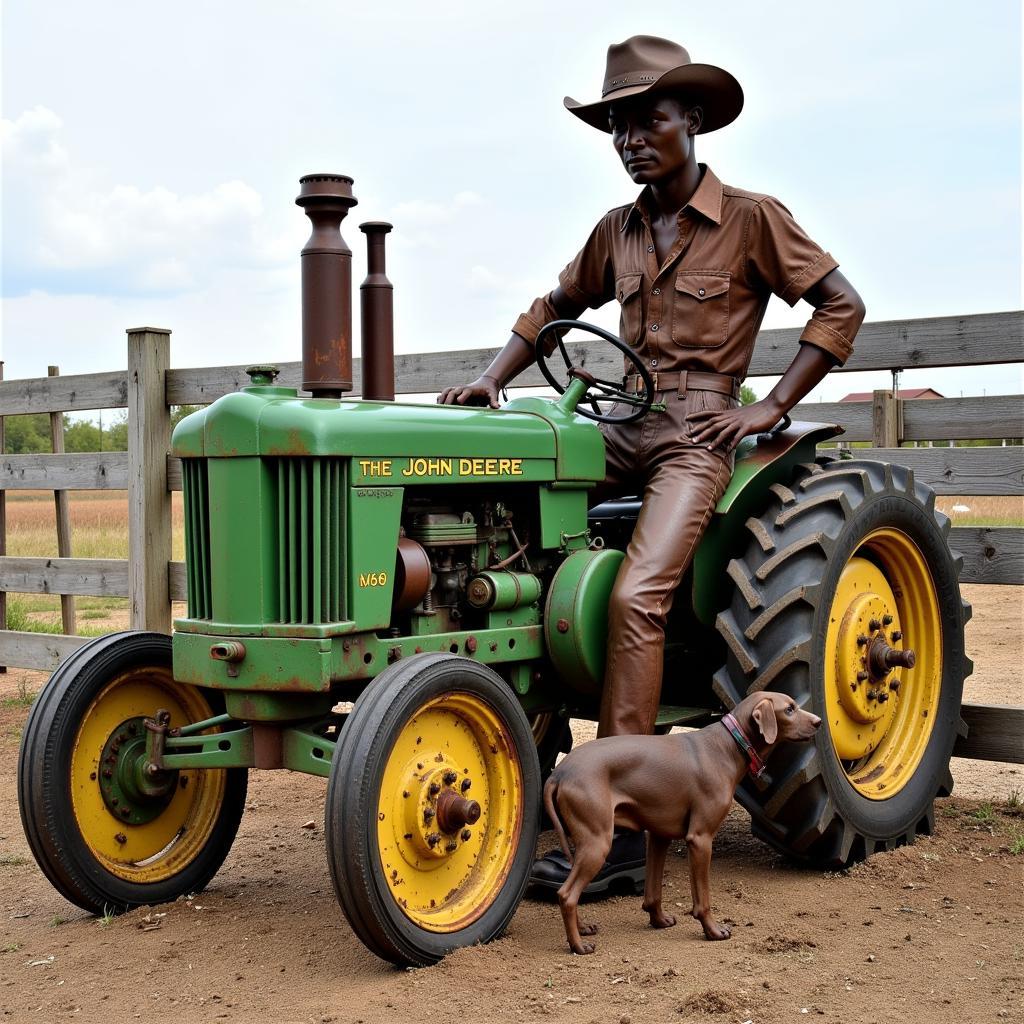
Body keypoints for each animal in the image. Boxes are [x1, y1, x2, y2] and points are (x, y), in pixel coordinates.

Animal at [544, 692, 823, 954]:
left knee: (570, 892)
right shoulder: (700, 839)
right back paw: (578, 945)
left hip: (585, 845)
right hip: (597, 843)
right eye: (789, 709)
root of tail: (559, 773)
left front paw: (658, 920)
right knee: (567, 895)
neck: (728, 745)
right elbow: (703, 899)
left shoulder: (659, 837)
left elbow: (653, 892)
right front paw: (713, 930)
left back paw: (582, 928)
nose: (820, 722)